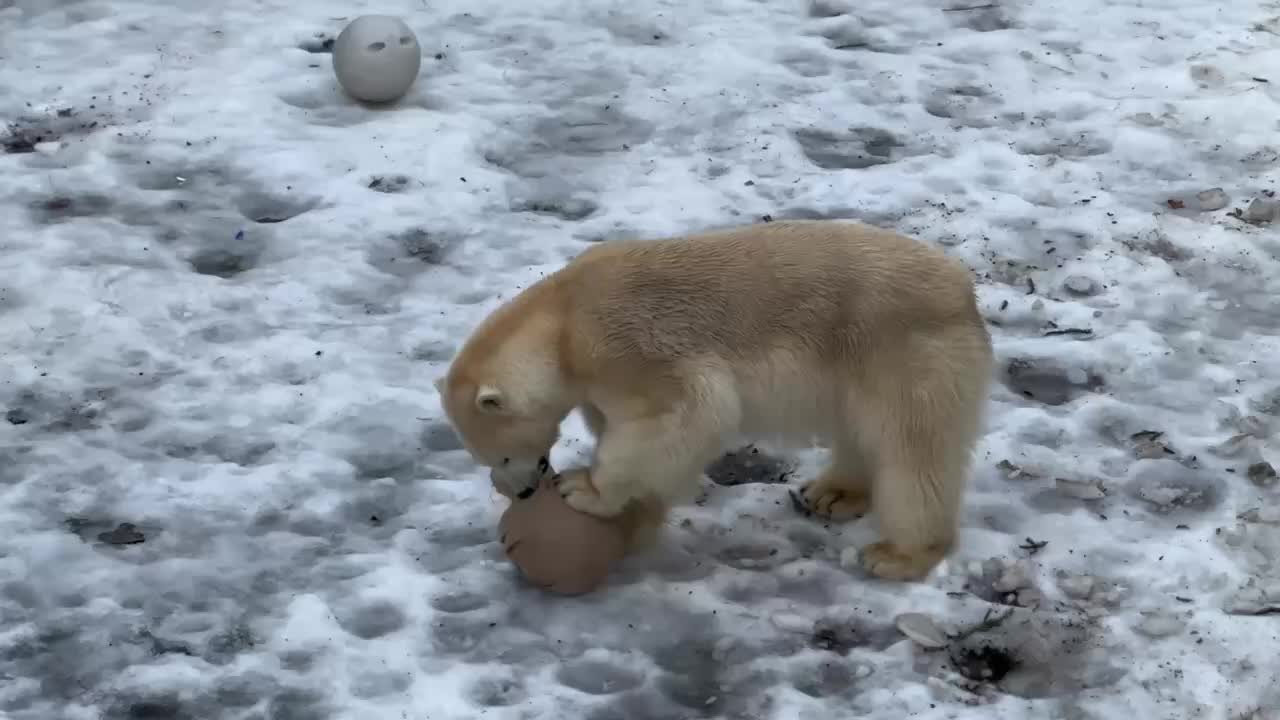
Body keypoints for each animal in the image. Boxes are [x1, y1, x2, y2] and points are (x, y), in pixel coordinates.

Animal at [435, 219, 993, 576]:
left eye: (500, 454)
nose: (524, 492)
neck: (563, 318)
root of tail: (963, 290)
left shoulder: (624, 347)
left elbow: (679, 416)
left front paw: (584, 490)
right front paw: (635, 519)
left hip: (905, 355)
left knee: (913, 455)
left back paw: (897, 554)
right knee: (861, 432)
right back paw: (832, 493)